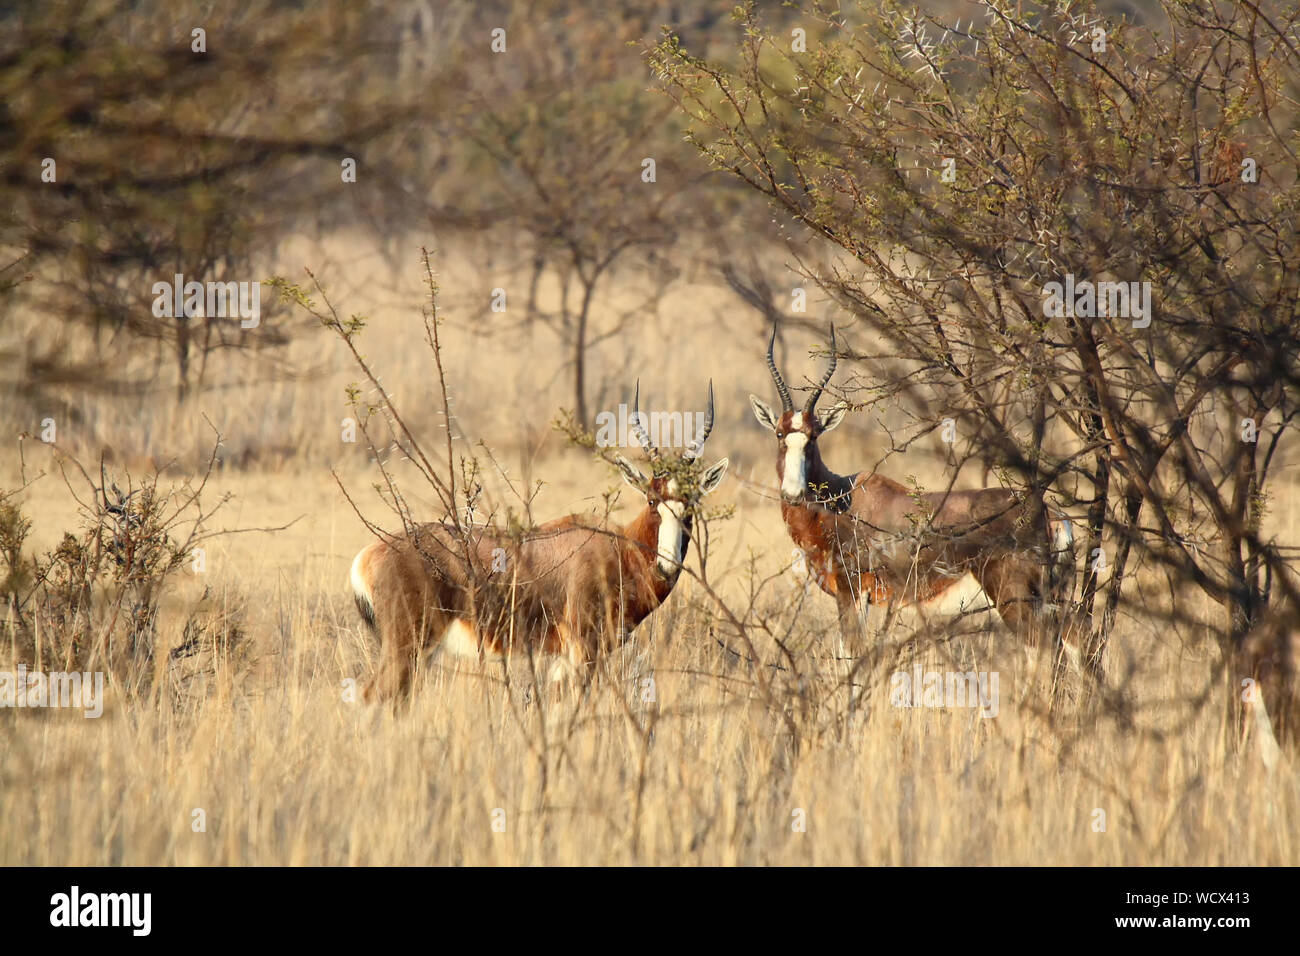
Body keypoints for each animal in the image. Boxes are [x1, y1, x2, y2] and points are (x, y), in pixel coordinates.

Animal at [351, 382, 728, 702]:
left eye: (691, 503)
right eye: (652, 500)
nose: (666, 565)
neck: (617, 546)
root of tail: (368, 556)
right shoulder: (583, 650)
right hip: (407, 647)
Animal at [754, 327, 1076, 650]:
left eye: (814, 436)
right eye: (780, 434)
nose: (793, 494)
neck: (842, 497)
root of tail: (1049, 513)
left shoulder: (851, 595)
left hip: (1016, 600)